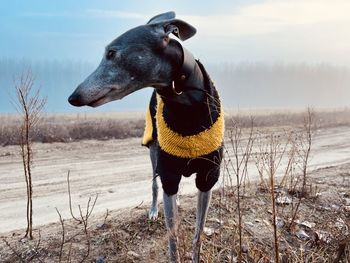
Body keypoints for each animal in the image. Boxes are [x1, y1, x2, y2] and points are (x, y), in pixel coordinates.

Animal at [68, 11, 224, 262]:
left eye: (111, 53)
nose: (73, 97)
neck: (186, 103)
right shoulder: (169, 173)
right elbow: (172, 237)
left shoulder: (208, 176)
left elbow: (198, 234)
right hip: (153, 149)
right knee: (154, 185)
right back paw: (153, 209)